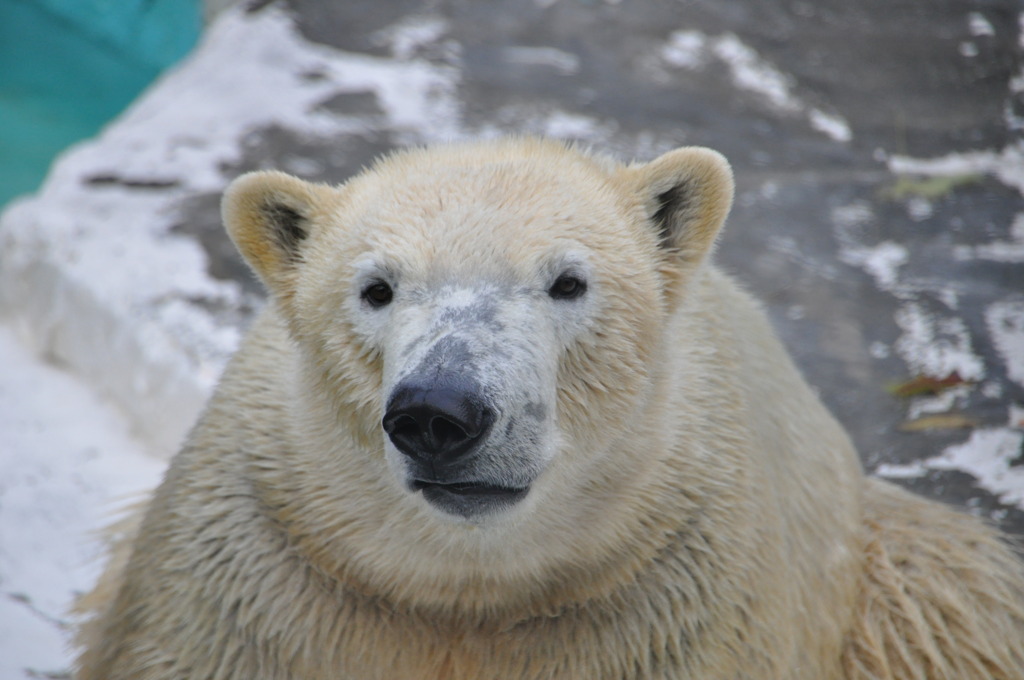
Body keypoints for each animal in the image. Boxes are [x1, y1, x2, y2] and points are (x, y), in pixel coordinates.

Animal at [75, 139, 1024, 680]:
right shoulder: (267, 580)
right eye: (376, 288)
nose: (440, 413)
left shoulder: (658, 605)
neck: (463, 594)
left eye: (569, 282)